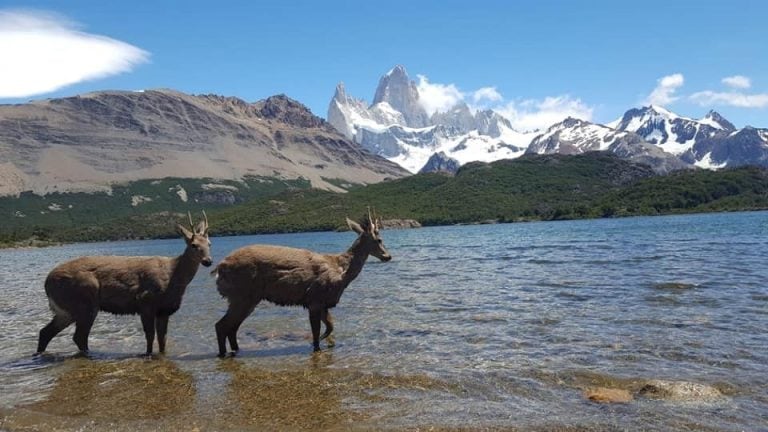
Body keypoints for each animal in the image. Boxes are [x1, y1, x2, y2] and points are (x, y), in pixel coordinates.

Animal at [35, 211, 212, 356]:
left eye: (209, 244)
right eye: (194, 245)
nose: (208, 261)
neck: (173, 277)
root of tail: (47, 282)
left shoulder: (164, 310)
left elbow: (163, 340)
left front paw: (162, 355)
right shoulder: (145, 302)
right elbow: (150, 336)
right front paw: (147, 355)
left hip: (66, 309)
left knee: (45, 332)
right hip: (84, 300)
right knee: (79, 336)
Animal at [210, 208, 390, 354]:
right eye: (379, 240)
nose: (388, 256)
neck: (341, 273)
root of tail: (219, 269)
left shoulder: (323, 303)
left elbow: (330, 327)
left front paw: (327, 343)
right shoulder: (315, 299)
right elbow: (317, 332)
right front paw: (316, 347)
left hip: (247, 299)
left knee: (231, 328)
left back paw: (235, 350)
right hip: (242, 295)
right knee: (221, 326)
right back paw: (223, 353)